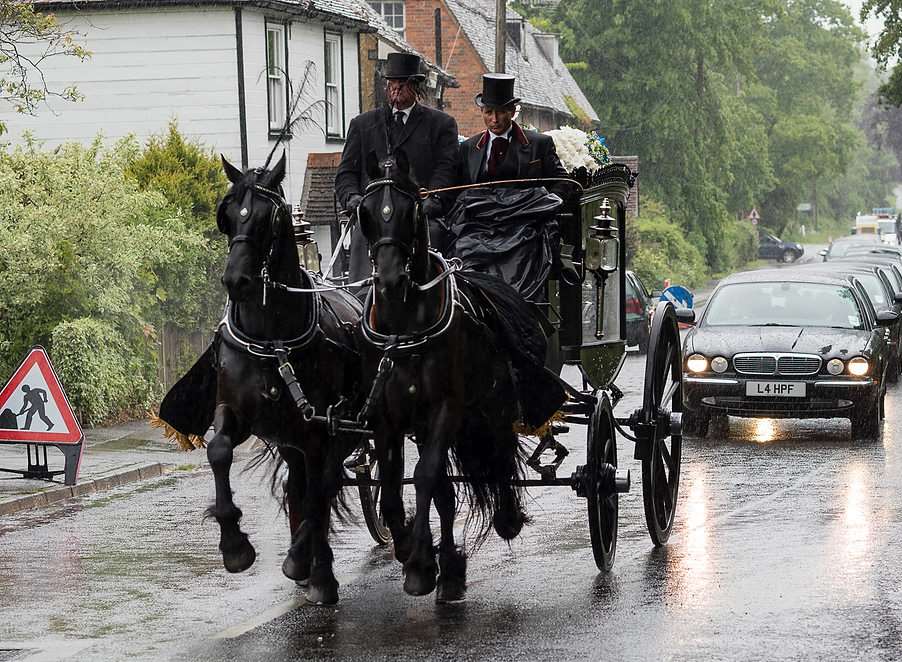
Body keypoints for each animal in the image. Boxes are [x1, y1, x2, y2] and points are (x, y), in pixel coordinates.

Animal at [209, 156, 364, 608]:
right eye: (227, 215)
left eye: (270, 217)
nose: (236, 281)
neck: (273, 338)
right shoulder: (236, 412)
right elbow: (218, 450)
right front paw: (235, 547)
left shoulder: (321, 430)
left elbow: (319, 495)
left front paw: (321, 576)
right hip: (293, 439)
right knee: (302, 484)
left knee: (323, 486)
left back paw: (308, 562)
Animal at [356, 150, 560, 600]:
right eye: (365, 212)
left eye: (410, 211)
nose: (391, 280)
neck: (404, 326)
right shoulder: (388, 416)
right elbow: (397, 488)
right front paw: (414, 552)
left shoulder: (445, 408)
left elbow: (425, 477)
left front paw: (420, 563)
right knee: (450, 488)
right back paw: (449, 568)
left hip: (491, 406)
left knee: (497, 457)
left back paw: (505, 518)